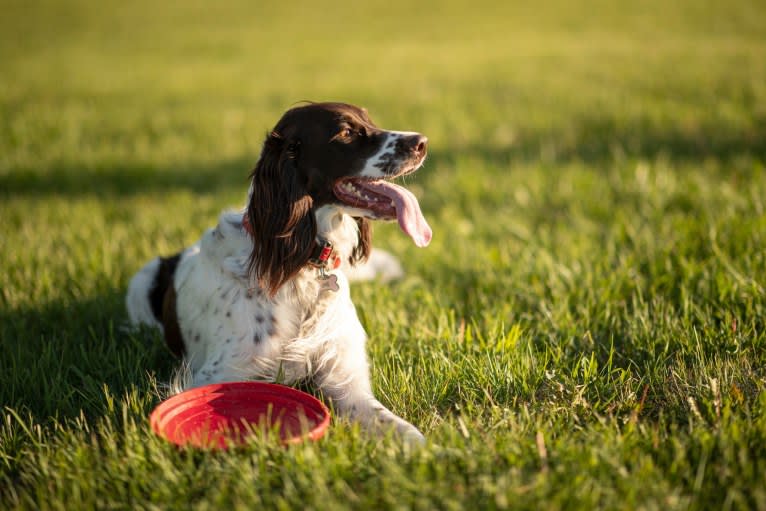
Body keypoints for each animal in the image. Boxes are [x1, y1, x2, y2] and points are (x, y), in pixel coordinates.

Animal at [129, 102, 436, 442]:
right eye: (345, 132)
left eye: (370, 121)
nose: (422, 142)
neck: (303, 268)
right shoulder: (215, 376)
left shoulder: (346, 381)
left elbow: (403, 429)